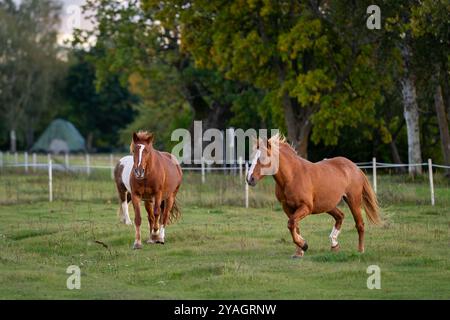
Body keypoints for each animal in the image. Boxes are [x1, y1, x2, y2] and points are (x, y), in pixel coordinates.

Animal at [246, 134, 380, 258]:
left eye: (263, 157)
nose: (249, 179)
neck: (292, 177)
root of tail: (355, 167)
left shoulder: (306, 207)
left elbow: (291, 224)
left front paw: (304, 245)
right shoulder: (287, 207)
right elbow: (295, 226)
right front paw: (299, 252)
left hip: (353, 200)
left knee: (360, 224)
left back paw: (360, 250)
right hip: (327, 205)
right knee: (340, 216)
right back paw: (334, 245)